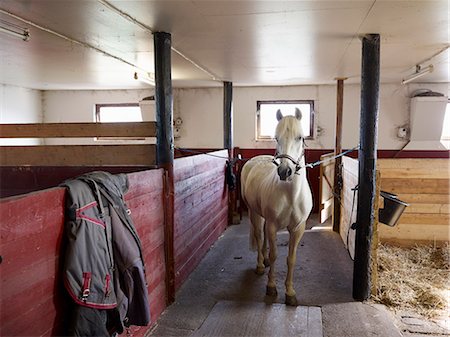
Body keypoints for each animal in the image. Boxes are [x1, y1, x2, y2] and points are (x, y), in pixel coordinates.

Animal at [241, 107, 312, 304]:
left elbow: (291, 258)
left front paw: (290, 292)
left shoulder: (298, 228)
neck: (291, 195)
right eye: (276, 137)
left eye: (300, 137)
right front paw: (271, 287)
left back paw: (263, 260)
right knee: (259, 235)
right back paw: (260, 264)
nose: (285, 171)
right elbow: (275, 255)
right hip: (254, 213)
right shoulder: (273, 225)